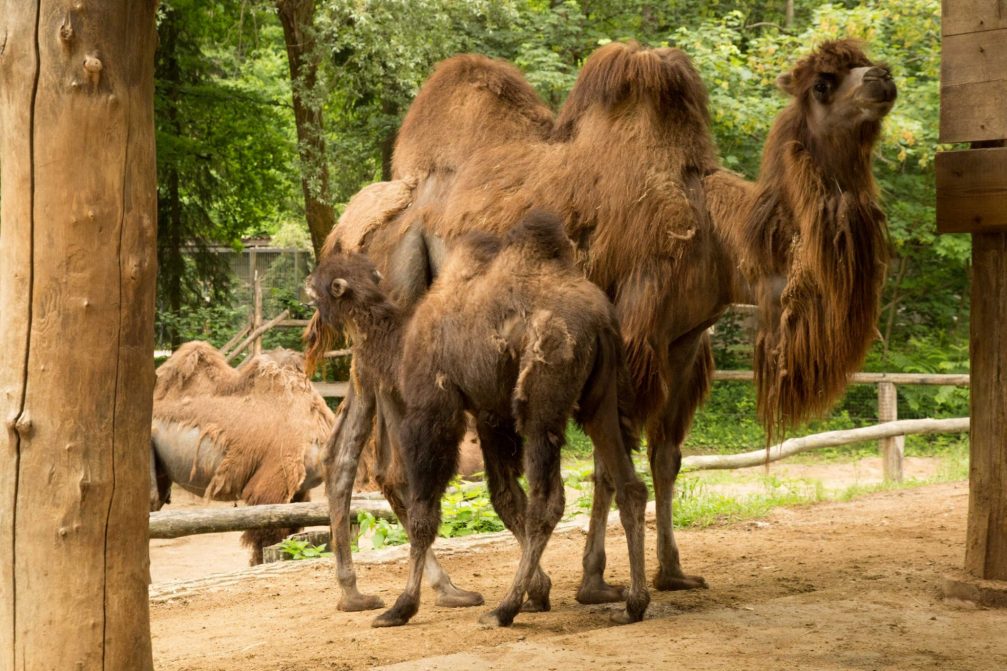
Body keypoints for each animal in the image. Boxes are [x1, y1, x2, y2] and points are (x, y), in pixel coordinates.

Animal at [308, 211, 652, 624]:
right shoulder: (490, 413)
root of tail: (601, 322)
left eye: (316, 290)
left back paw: (504, 609)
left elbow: (425, 510)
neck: (399, 344)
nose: (311, 311)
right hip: (603, 397)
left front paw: (402, 607)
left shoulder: (435, 409)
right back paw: (633, 604)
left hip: (543, 400)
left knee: (548, 501)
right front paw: (539, 590)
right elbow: (504, 498)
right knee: (630, 486)